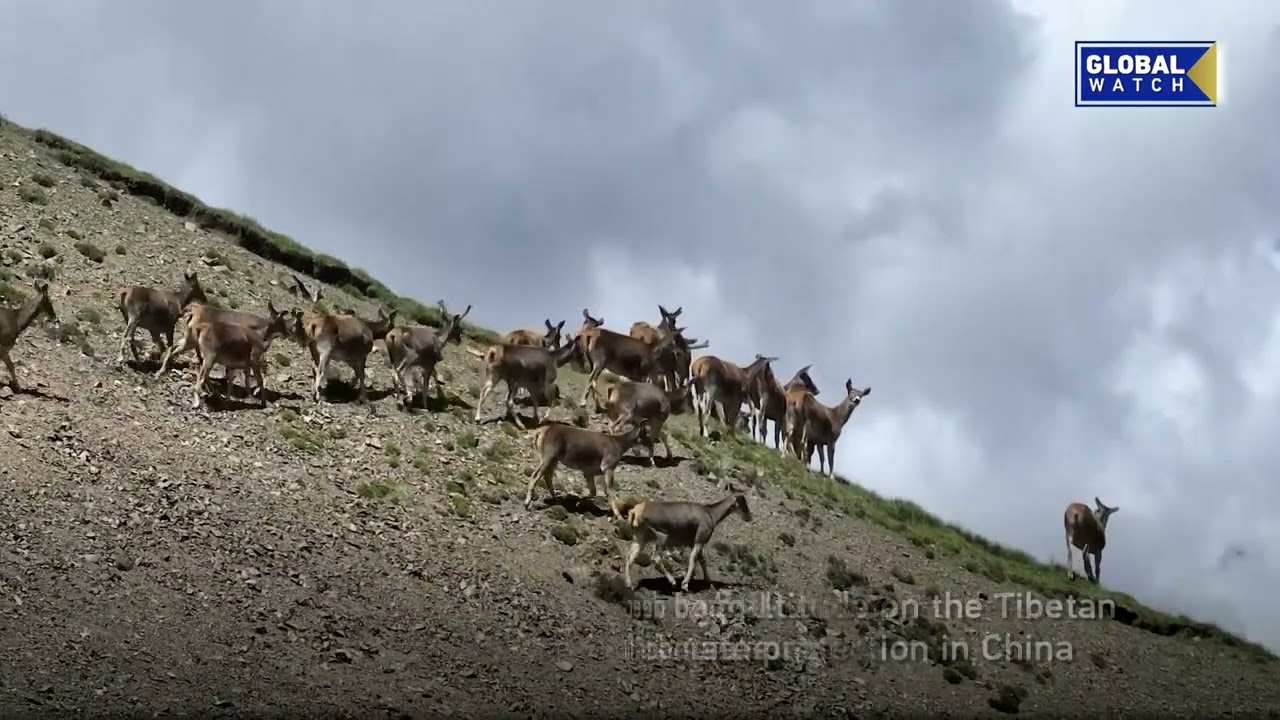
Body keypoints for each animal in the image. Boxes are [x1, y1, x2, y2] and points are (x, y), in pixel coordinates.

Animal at [617, 489, 752, 592]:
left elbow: (702, 561)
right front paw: (685, 584)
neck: (710, 513)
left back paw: (629, 585)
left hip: (640, 539)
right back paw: (672, 582)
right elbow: (693, 560)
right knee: (655, 558)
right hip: (662, 538)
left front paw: (707, 581)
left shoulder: (696, 543)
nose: (749, 517)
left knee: (630, 557)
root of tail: (636, 511)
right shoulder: (698, 542)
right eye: (743, 502)